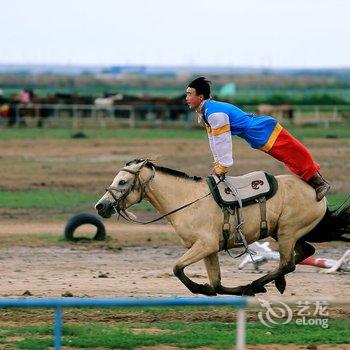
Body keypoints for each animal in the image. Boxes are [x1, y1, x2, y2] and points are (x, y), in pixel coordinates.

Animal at [94, 159, 348, 296]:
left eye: (122, 181)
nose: (100, 206)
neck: (188, 200)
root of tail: (317, 191)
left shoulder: (204, 245)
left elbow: (178, 268)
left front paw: (202, 288)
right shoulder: (210, 249)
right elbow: (216, 283)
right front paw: (233, 289)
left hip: (287, 233)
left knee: (287, 263)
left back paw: (261, 283)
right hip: (287, 233)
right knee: (305, 252)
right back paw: (272, 284)